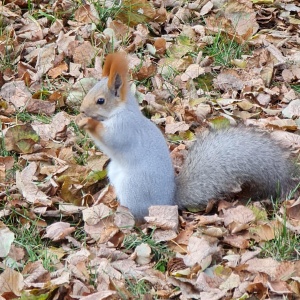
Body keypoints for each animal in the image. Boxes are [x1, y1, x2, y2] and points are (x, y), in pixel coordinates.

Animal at [78, 52, 298, 220]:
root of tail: (167, 202)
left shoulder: (126, 127)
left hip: (133, 188)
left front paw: (88, 123)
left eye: (100, 101)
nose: (81, 110)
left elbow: (112, 140)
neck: (121, 110)